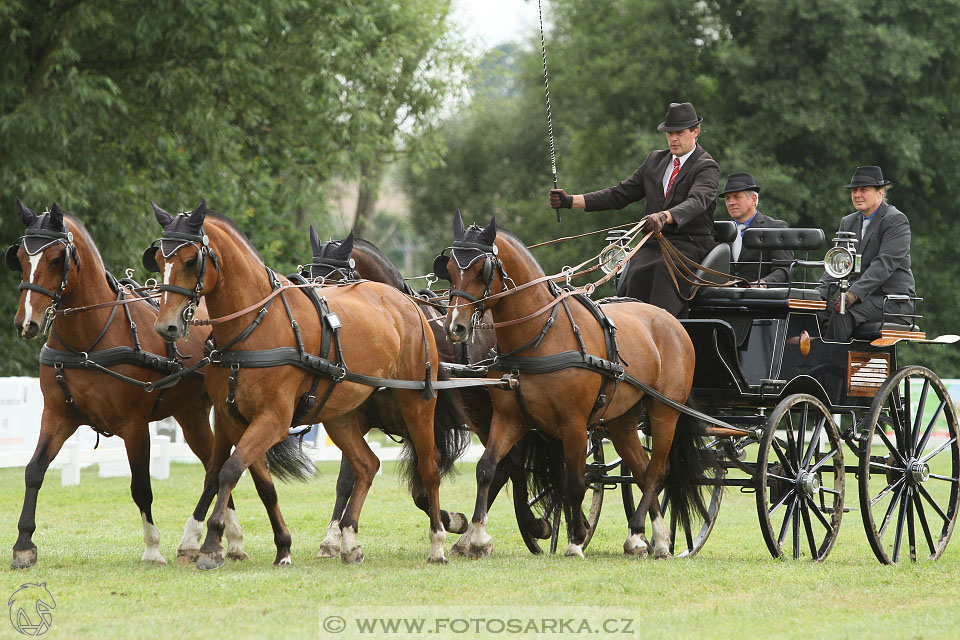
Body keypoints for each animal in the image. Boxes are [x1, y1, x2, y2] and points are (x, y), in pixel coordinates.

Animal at [6, 201, 246, 568]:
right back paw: (226, 539)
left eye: (57, 259)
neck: (89, 341)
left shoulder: (134, 426)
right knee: (213, 464)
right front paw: (23, 545)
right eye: (19, 257)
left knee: (218, 468)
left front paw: (152, 547)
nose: (26, 323)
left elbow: (141, 487)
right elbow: (34, 471)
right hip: (191, 415)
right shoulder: (58, 416)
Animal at [145, 202, 468, 568]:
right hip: (340, 413)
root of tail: (408, 304)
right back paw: (349, 540)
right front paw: (280, 546)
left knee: (428, 467)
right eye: (160, 261)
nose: (167, 326)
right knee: (366, 465)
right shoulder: (231, 418)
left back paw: (438, 542)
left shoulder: (273, 419)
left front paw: (212, 544)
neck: (253, 326)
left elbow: (229, 471)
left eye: (190, 261)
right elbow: (250, 481)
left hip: (416, 402)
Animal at [300, 229, 556, 556]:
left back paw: (518, 528)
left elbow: (422, 487)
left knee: (509, 464)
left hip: (497, 413)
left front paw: (452, 520)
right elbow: (347, 478)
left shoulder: (431, 422)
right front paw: (333, 538)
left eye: (337, 279)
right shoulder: (359, 417)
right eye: (310, 275)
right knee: (506, 465)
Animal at [436, 211, 712, 560]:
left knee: (656, 472)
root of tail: (670, 321)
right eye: (448, 269)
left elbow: (575, 483)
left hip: (664, 411)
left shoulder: (574, 424)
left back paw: (653, 537)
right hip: (622, 419)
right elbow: (487, 468)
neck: (540, 334)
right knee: (640, 468)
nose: (455, 326)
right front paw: (478, 537)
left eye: (481, 269)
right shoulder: (511, 418)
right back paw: (642, 538)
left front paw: (576, 539)